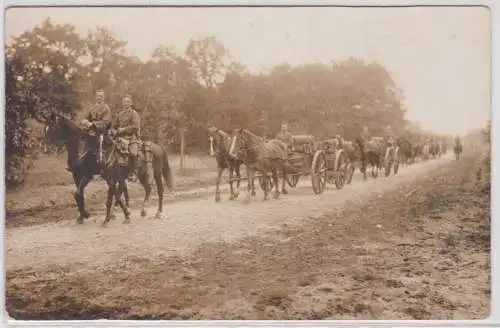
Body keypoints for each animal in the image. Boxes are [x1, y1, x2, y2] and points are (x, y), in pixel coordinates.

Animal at [41, 112, 174, 226]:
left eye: (51, 128)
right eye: (45, 129)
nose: (45, 148)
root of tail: (159, 148)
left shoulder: (91, 175)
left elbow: (109, 197)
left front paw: (108, 217)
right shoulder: (79, 175)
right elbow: (78, 194)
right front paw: (83, 216)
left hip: (156, 173)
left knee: (159, 190)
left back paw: (158, 213)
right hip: (141, 174)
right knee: (146, 188)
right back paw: (142, 210)